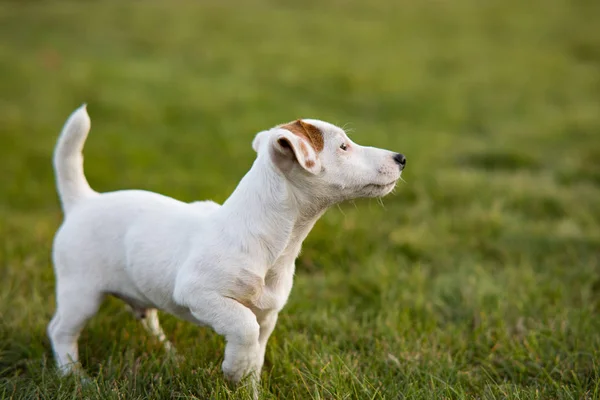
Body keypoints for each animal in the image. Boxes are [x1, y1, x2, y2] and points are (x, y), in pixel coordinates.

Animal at [45, 104, 404, 396]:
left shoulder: (268, 316)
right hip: (80, 293)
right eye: (343, 146)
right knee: (60, 331)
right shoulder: (199, 293)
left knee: (146, 318)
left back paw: (170, 354)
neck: (272, 243)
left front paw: (248, 387)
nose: (401, 158)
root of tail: (83, 201)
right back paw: (75, 376)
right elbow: (243, 327)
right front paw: (234, 369)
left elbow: (257, 354)